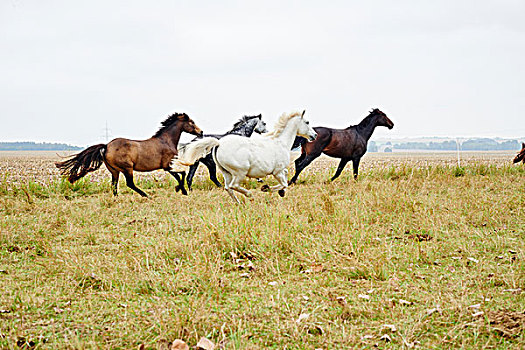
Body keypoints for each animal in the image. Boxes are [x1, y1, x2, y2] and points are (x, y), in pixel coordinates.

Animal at [54, 113, 203, 197]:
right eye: (191, 122)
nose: (201, 132)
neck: (166, 141)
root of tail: (106, 146)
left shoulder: (168, 167)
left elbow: (181, 175)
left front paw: (180, 190)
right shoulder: (167, 166)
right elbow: (182, 175)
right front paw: (181, 190)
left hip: (114, 170)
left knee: (114, 184)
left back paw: (117, 198)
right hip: (127, 168)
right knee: (129, 183)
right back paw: (145, 195)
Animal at [173, 110, 316, 204]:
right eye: (307, 122)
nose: (314, 135)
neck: (280, 142)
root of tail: (218, 143)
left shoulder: (282, 170)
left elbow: (285, 181)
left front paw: (280, 192)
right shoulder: (278, 171)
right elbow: (284, 183)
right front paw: (266, 188)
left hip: (222, 171)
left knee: (226, 187)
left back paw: (238, 202)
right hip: (239, 172)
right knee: (232, 185)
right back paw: (249, 195)